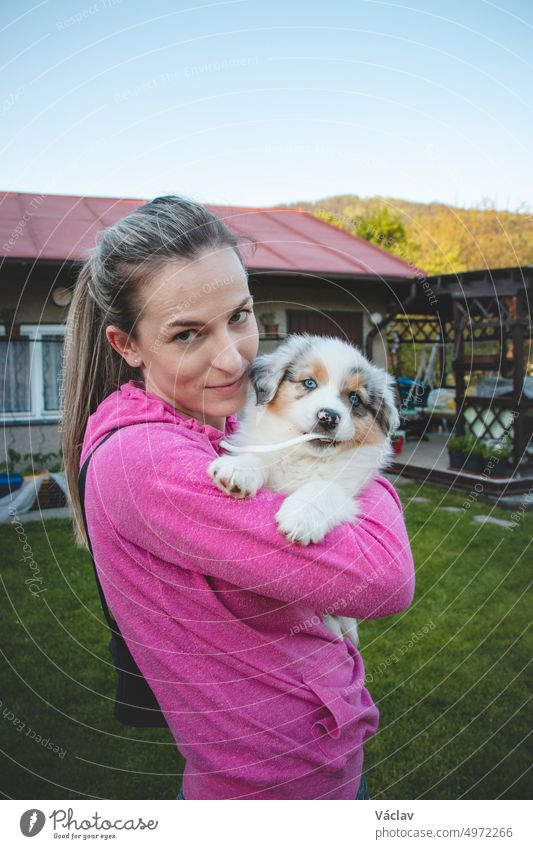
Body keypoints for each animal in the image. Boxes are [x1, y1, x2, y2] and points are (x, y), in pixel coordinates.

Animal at [208, 332, 400, 644]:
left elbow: (323, 488)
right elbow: (260, 456)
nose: (328, 417)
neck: (305, 455)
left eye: (354, 398)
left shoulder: (350, 487)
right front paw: (238, 470)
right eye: (309, 383)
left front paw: (300, 518)